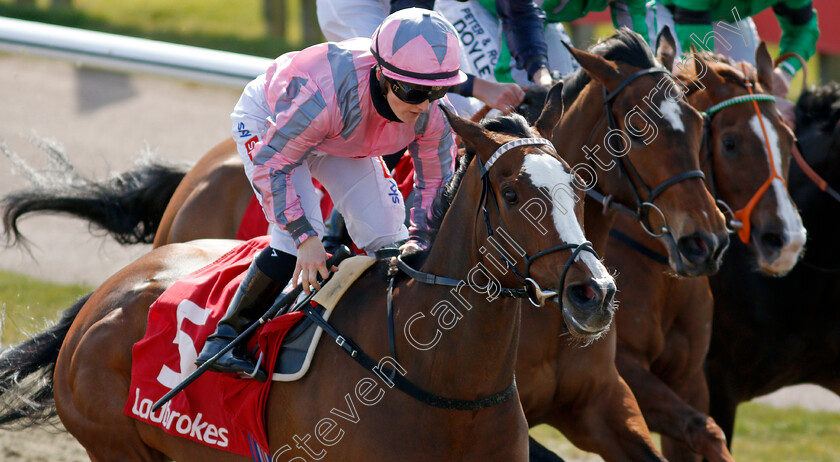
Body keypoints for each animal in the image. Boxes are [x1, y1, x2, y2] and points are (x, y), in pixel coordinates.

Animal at [0, 107, 616, 458]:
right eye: (511, 195)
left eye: (577, 190)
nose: (596, 293)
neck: (443, 382)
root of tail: (98, 302)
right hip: (117, 444)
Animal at [604, 43, 808, 462]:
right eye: (730, 143)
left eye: (789, 139)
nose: (788, 240)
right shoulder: (623, 369)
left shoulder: (690, 376)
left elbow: (698, 432)